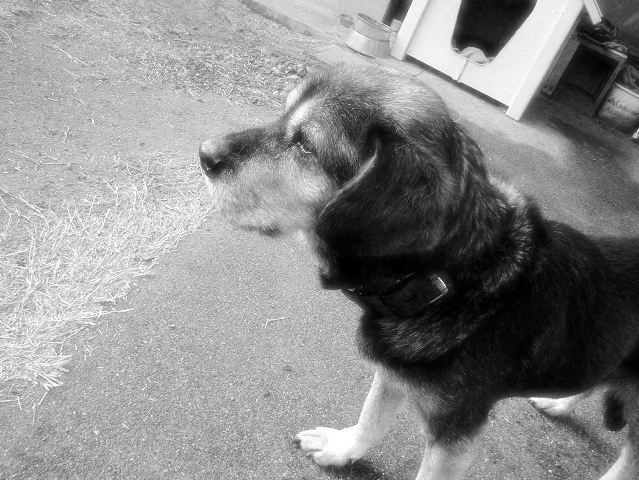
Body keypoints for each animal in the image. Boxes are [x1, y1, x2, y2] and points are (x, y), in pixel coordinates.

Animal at [198, 66, 639, 480]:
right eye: (283, 112)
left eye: (306, 144)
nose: (203, 153)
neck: (452, 276)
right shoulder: (394, 368)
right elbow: (371, 417)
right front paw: (343, 449)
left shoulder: (454, 434)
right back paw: (558, 402)